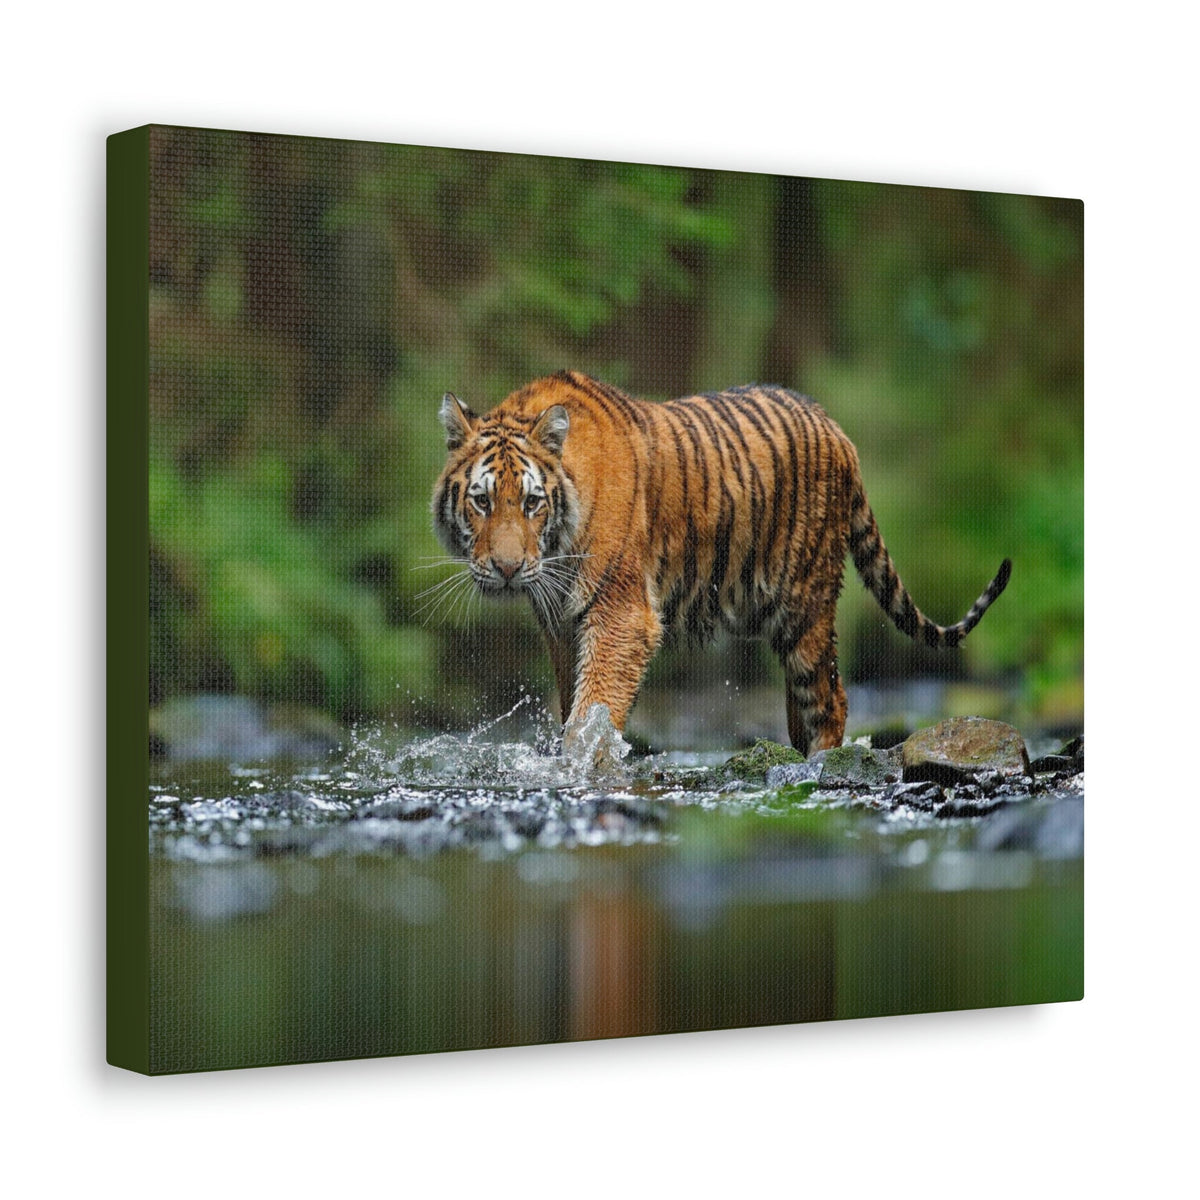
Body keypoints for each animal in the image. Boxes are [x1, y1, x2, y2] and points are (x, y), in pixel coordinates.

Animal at [431, 369, 1011, 758]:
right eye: (482, 501)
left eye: (532, 502)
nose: (507, 568)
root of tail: (837, 429)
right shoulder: (560, 623)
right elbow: (572, 699)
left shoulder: (622, 613)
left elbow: (592, 708)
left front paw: (579, 763)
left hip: (805, 606)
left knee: (833, 699)